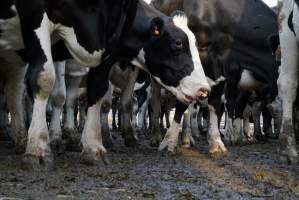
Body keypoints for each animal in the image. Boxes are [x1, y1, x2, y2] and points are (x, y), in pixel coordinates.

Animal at [1, 0, 211, 166]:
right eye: (178, 43)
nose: (204, 89)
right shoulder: (36, 16)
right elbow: (48, 82)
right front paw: (40, 146)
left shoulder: (109, 45)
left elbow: (99, 91)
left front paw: (93, 147)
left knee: (14, 92)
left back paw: (20, 138)